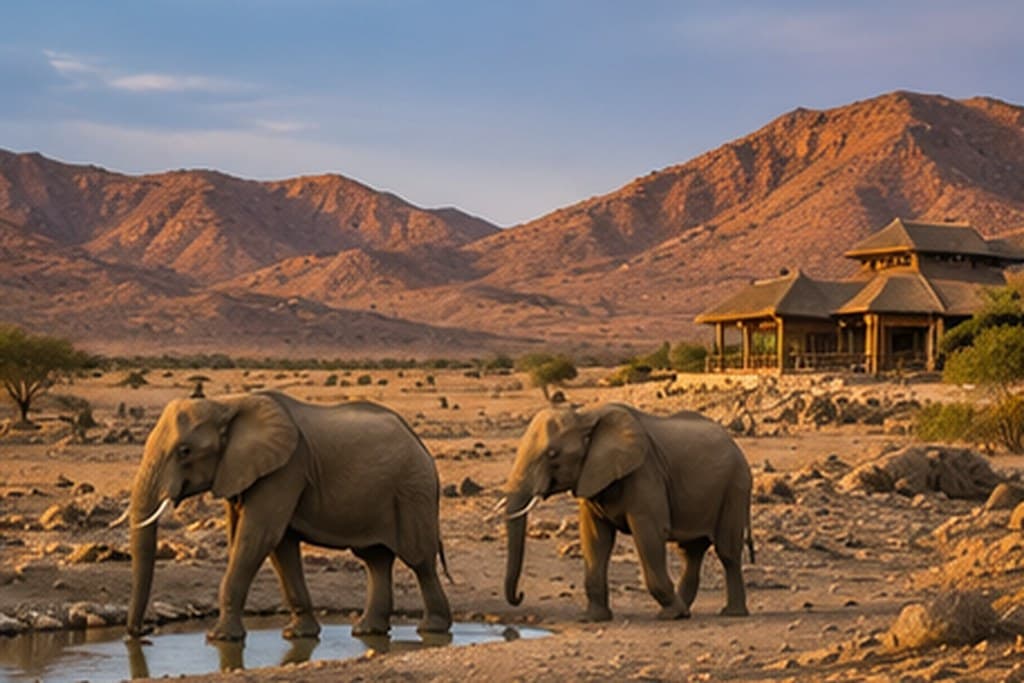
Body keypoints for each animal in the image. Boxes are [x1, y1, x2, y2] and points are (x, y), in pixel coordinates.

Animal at [120, 390, 452, 641]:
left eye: (185, 451)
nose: (143, 632)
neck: (229, 404)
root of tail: (420, 444)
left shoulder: (286, 469)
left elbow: (257, 538)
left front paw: (219, 638)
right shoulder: (242, 472)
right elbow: (279, 547)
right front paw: (297, 635)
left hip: (412, 490)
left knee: (419, 560)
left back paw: (432, 629)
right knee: (375, 560)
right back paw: (367, 631)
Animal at [499, 403, 754, 621]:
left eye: (552, 454)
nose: (520, 596)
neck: (587, 416)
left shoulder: (645, 473)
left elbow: (649, 534)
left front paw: (670, 615)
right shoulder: (592, 477)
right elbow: (595, 538)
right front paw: (593, 619)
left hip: (736, 487)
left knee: (727, 553)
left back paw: (726, 613)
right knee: (690, 552)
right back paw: (685, 611)